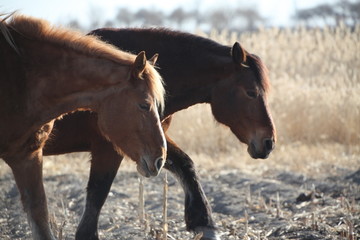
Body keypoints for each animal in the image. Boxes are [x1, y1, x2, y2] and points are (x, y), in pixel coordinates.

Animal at [43, 27, 278, 238]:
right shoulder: (110, 148)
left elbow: (185, 165)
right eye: (251, 92)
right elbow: (97, 193)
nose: (269, 142)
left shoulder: (153, 144)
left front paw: (204, 224)